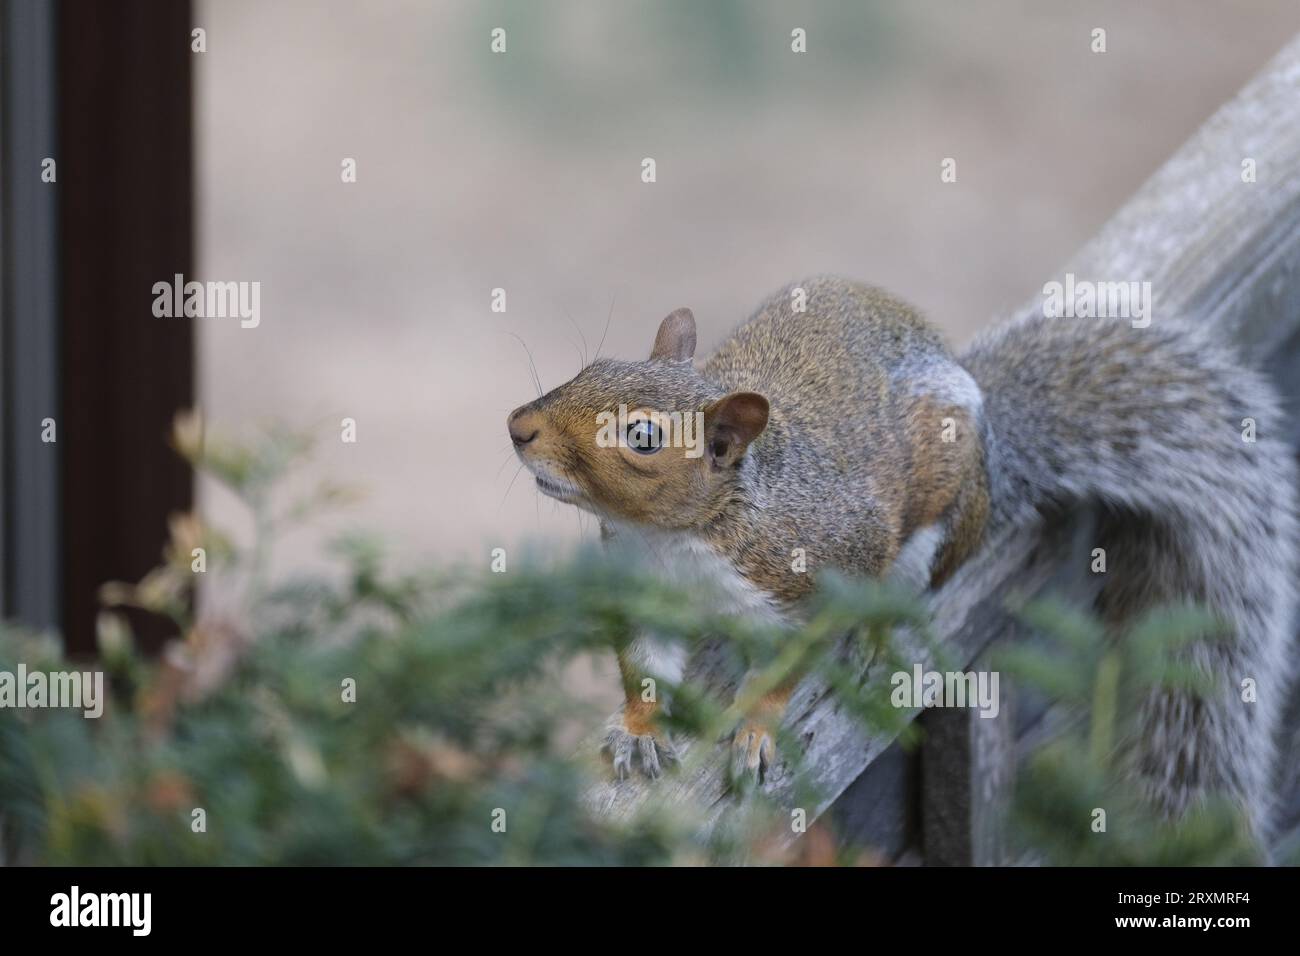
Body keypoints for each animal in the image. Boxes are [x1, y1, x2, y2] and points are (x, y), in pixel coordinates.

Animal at [507, 275, 1297, 836]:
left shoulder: (818, 576)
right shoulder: (643, 589)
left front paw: (757, 731)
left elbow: (788, 670)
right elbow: (644, 666)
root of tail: (995, 462)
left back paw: (872, 636)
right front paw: (637, 731)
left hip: (933, 535)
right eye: (592, 367)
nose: (518, 426)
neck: (678, 539)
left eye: (641, 438)